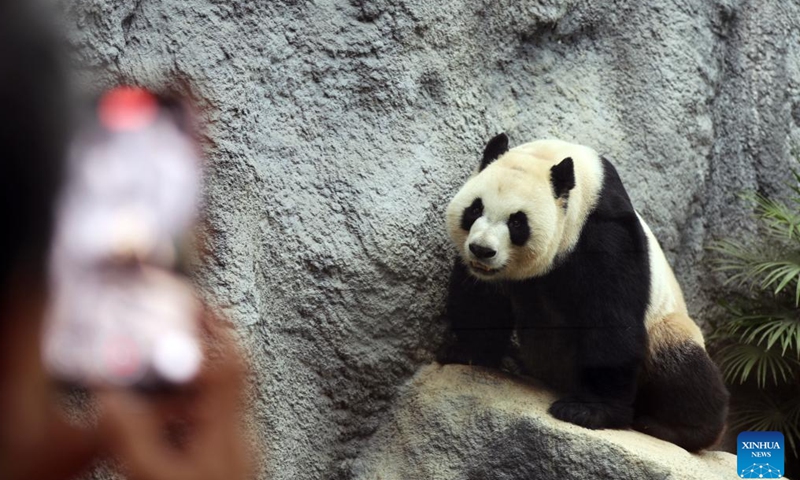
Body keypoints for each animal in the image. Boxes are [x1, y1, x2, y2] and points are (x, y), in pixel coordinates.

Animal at [444, 133, 732, 452]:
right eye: (475, 209)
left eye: (517, 222)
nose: (482, 250)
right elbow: (482, 301)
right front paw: (469, 352)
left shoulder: (603, 232)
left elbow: (611, 319)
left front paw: (586, 411)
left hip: (665, 329)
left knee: (683, 370)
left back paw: (679, 428)